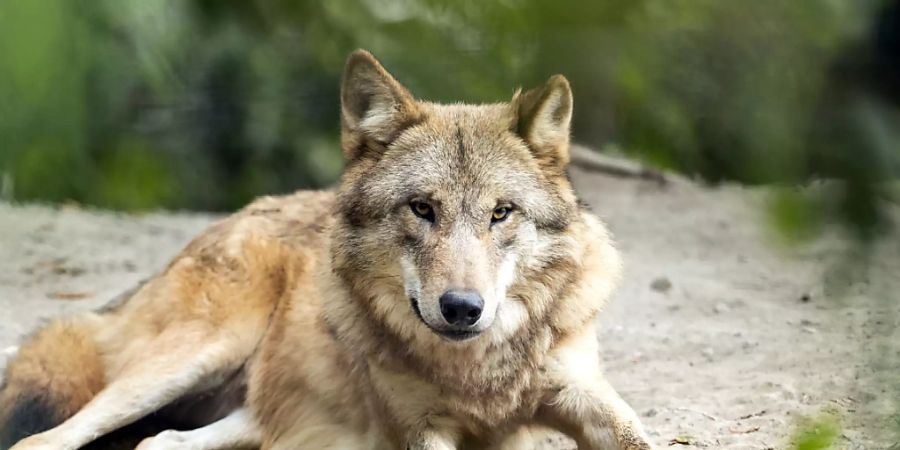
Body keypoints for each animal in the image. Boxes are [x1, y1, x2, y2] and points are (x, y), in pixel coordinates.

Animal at [0, 50, 652, 450]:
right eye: (421, 208)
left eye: (501, 213)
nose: (462, 308)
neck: (479, 371)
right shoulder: (418, 427)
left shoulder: (585, 395)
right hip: (195, 355)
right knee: (44, 439)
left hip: (249, 417)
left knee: (158, 443)